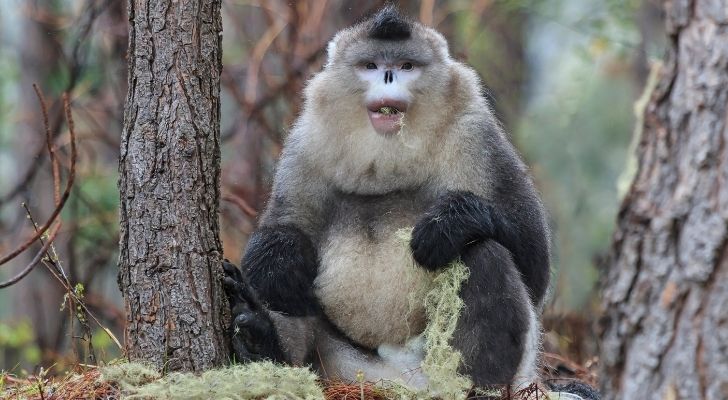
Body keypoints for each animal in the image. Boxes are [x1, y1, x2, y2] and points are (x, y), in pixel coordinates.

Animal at [225, 4, 548, 390]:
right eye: (371, 65)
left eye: (407, 65)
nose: (389, 76)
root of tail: (398, 374)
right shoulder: (305, 143)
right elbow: (283, 231)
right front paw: (276, 261)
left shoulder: (475, 136)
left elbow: (535, 265)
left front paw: (450, 223)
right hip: (342, 362)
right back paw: (260, 338)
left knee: (483, 253)